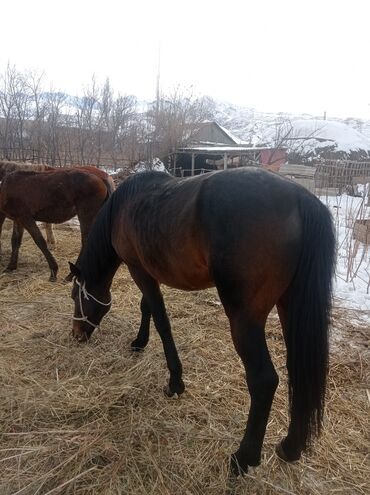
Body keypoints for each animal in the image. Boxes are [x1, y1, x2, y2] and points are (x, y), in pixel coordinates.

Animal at [68, 170, 336, 476]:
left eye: (76, 294)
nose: (76, 333)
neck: (125, 205)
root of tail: (299, 198)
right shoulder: (149, 271)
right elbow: (147, 308)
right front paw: (139, 342)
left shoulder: (140, 270)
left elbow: (161, 321)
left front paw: (175, 382)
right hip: (289, 307)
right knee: (298, 370)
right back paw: (290, 447)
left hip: (245, 320)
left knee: (264, 380)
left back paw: (243, 457)